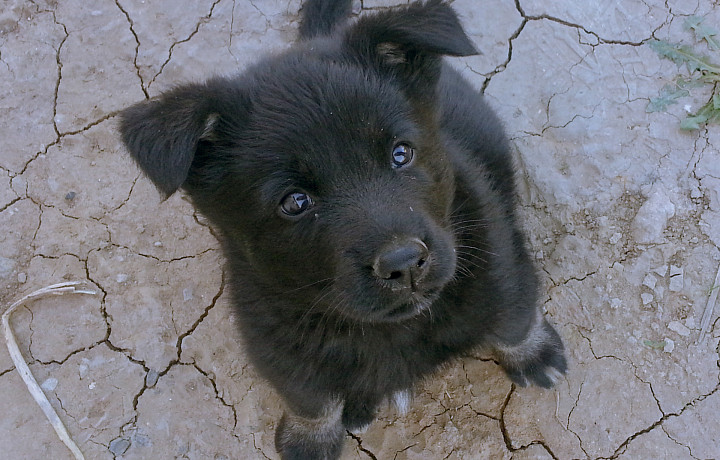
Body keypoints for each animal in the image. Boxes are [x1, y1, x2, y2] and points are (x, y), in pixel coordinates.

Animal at [119, 1, 568, 458]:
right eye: (294, 202)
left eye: (401, 153)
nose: (405, 263)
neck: (394, 327)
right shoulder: (276, 337)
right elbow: (311, 398)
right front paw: (310, 438)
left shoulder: (499, 261)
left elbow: (513, 319)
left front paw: (535, 355)